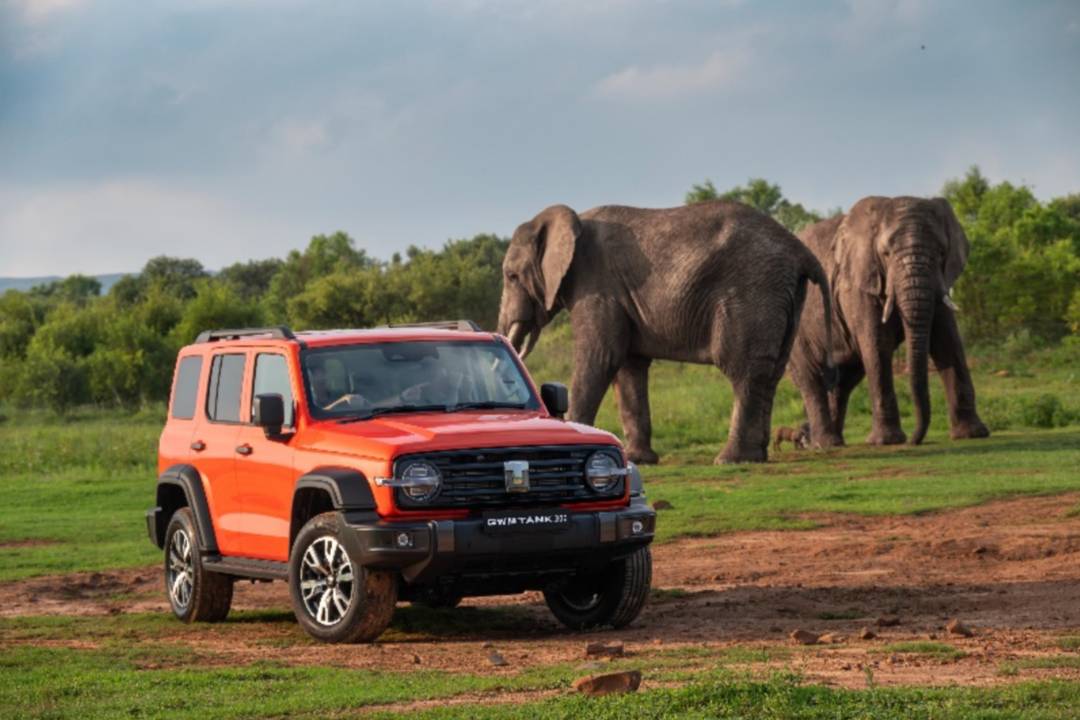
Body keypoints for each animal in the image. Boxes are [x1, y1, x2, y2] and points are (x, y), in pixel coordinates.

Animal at [496, 199, 833, 464]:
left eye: (511, 276)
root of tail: (798, 249)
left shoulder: (598, 286)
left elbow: (601, 356)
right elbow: (629, 368)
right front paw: (639, 460)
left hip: (753, 292)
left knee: (743, 370)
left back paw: (731, 460)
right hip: (785, 296)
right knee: (770, 374)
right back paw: (755, 457)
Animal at [786, 194, 989, 446]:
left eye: (942, 252)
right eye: (886, 254)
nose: (915, 441)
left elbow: (947, 342)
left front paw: (972, 434)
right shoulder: (858, 285)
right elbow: (877, 345)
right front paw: (887, 441)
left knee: (843, 382)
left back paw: (834, 441)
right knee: (811, 379)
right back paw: (826, 444)